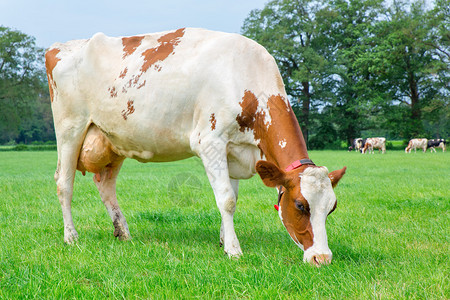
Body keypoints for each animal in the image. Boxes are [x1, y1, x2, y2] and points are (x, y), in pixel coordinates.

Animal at [45, 28, 346, 266]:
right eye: (300, 205)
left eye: (331, 207)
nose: (322, 258)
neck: (245, 77)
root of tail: (59, 46)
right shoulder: (211, 142)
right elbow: (226, 199)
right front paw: (234, 250)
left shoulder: (233, 151)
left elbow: (233, 198)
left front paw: (224, 240)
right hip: (70, 129)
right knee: (64, 183)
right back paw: (71, 236)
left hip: (112, 140)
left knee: (105, 185)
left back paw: (124, 233)